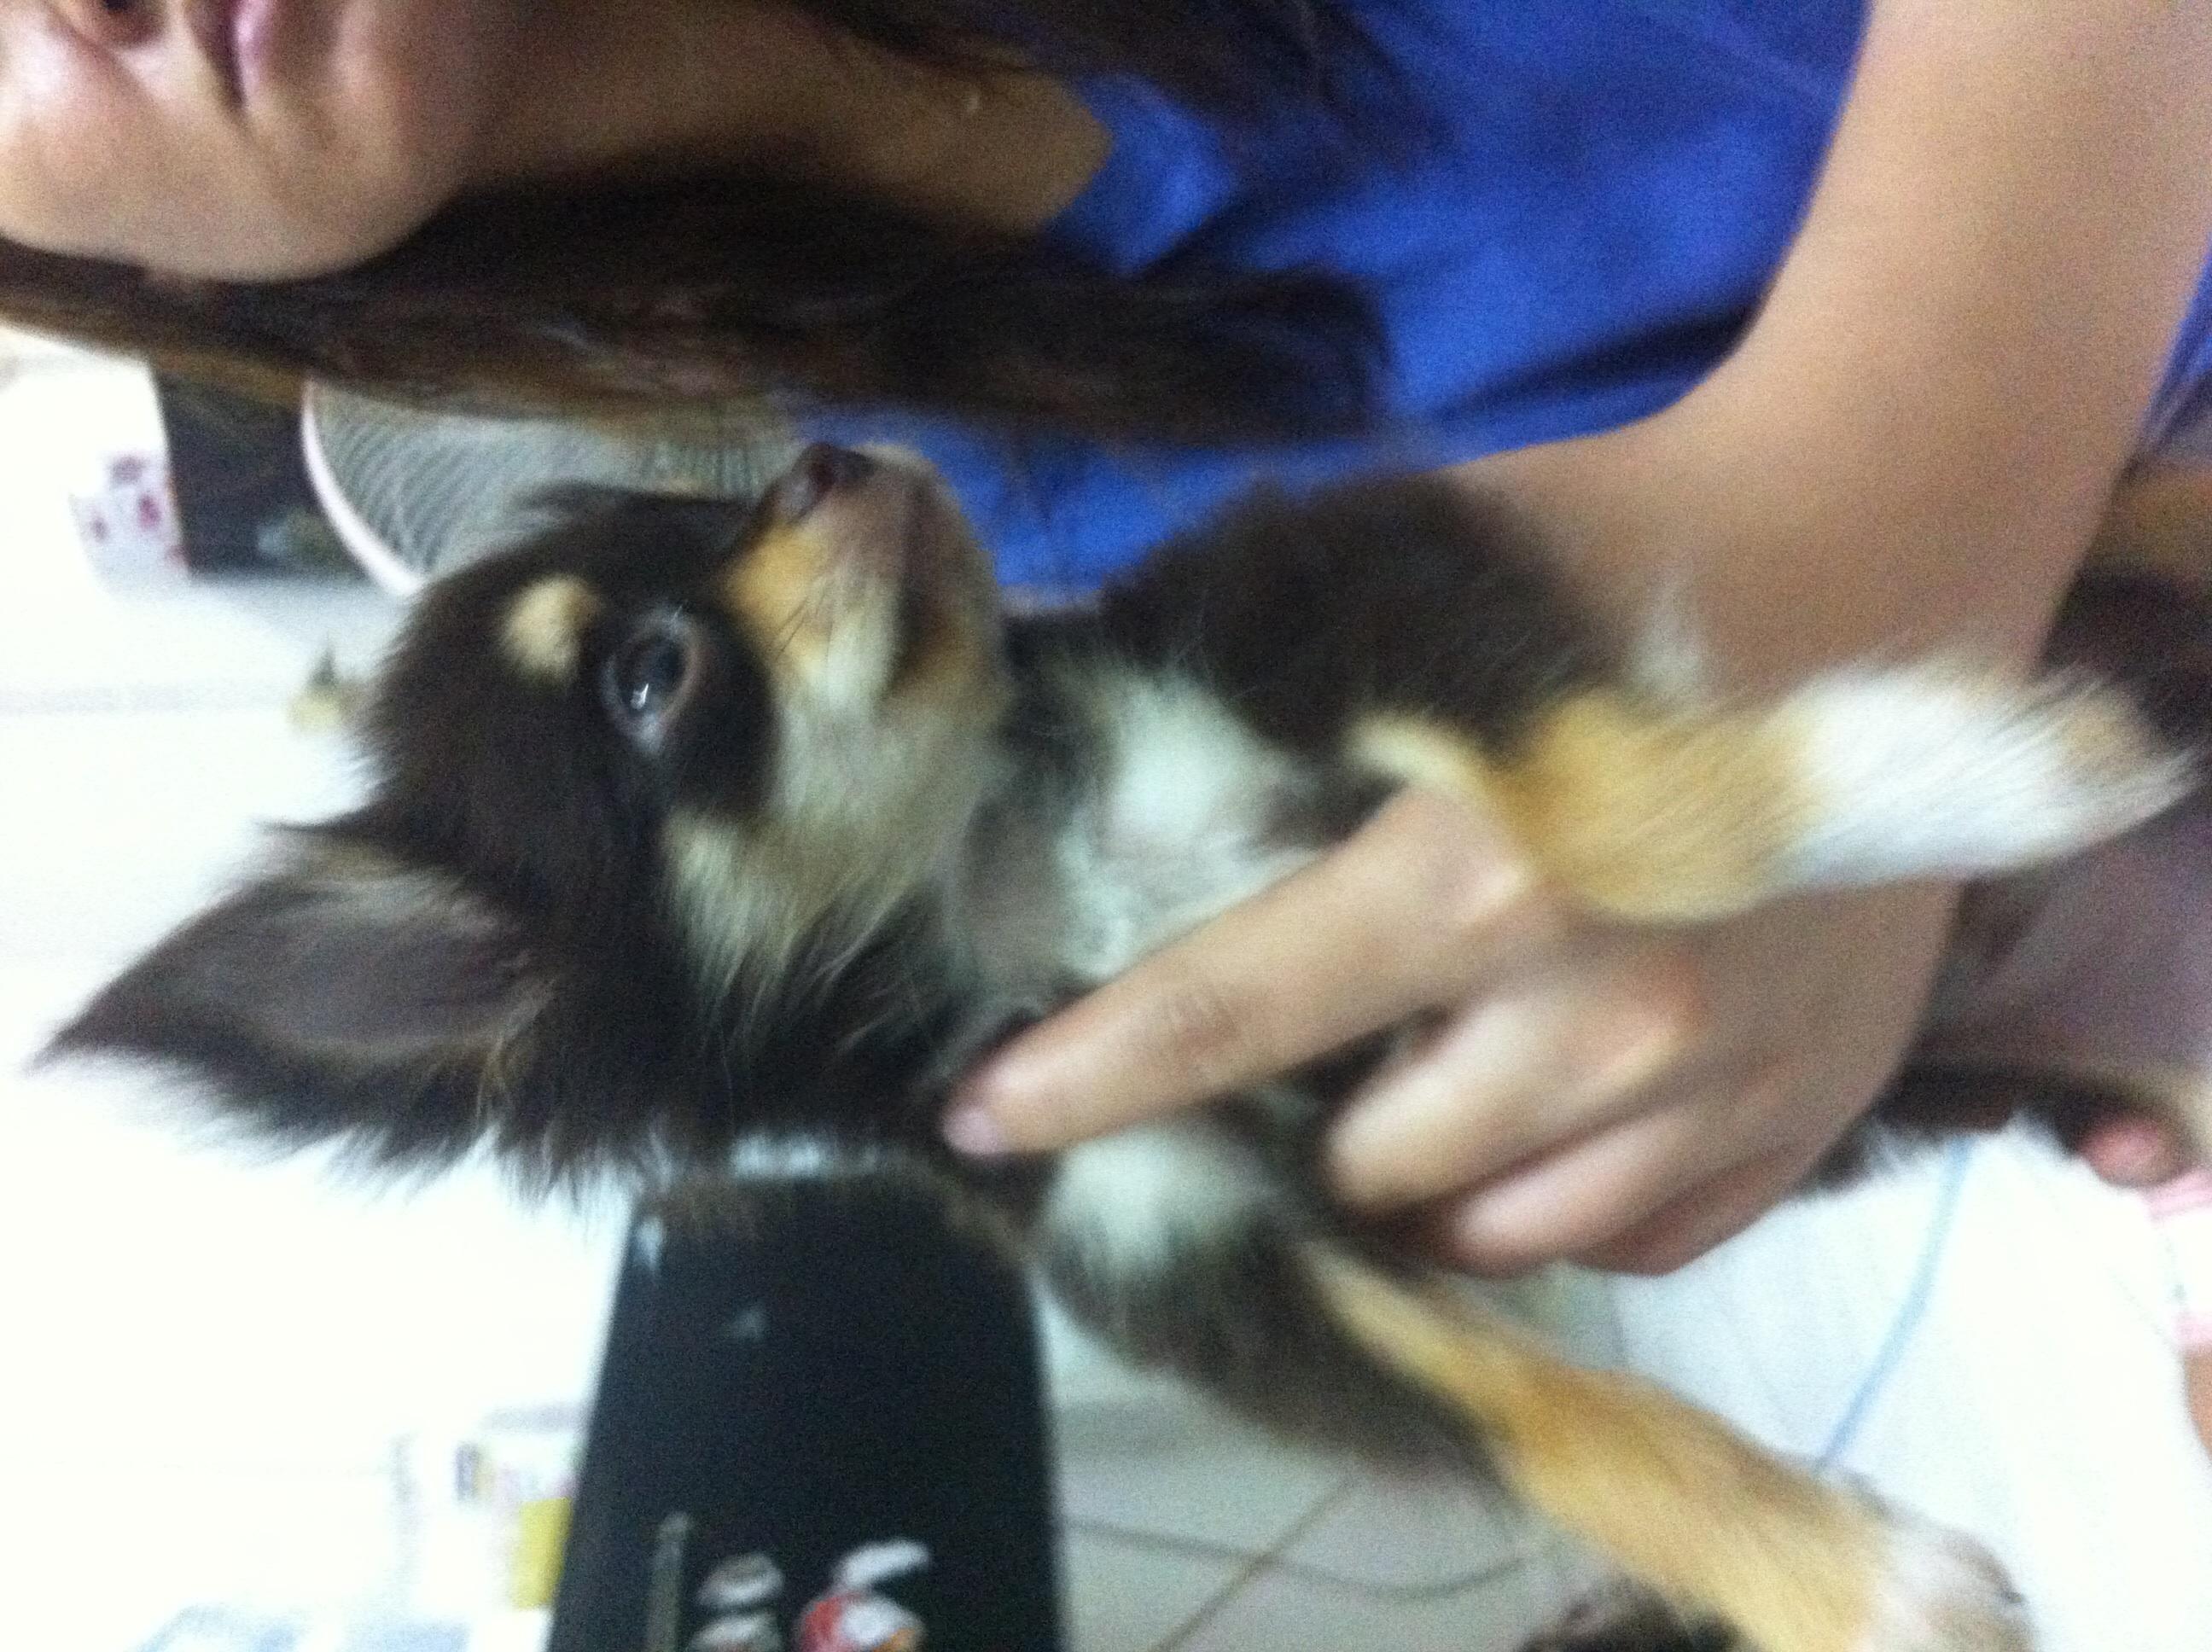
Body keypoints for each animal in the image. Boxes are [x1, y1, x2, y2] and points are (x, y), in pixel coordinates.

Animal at [50, 444, 2206, 1651]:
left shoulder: (1342, 586)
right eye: (650, 676)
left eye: (707, 507)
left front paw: (1956, 771)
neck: (1014, 880)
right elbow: (1544, 1415)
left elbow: (1582, 814)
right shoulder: (1214, 1253)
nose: (826, 451)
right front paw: (1849, 1587)